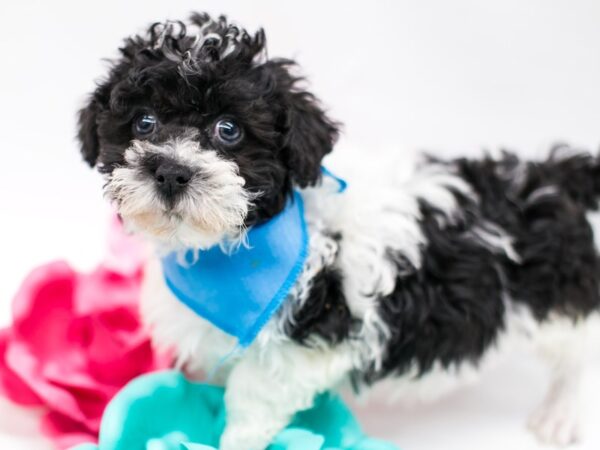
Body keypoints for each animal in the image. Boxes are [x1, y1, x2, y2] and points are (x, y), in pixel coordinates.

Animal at [78, 12, 600, 448]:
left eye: (229, 129)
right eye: (144, 122)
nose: (170, 172)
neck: (237, 250)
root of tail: (550, 177)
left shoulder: (300, 345)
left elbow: (250, 404)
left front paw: (231, 439)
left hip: (556, 301)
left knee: (577, 348)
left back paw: (563, 411)